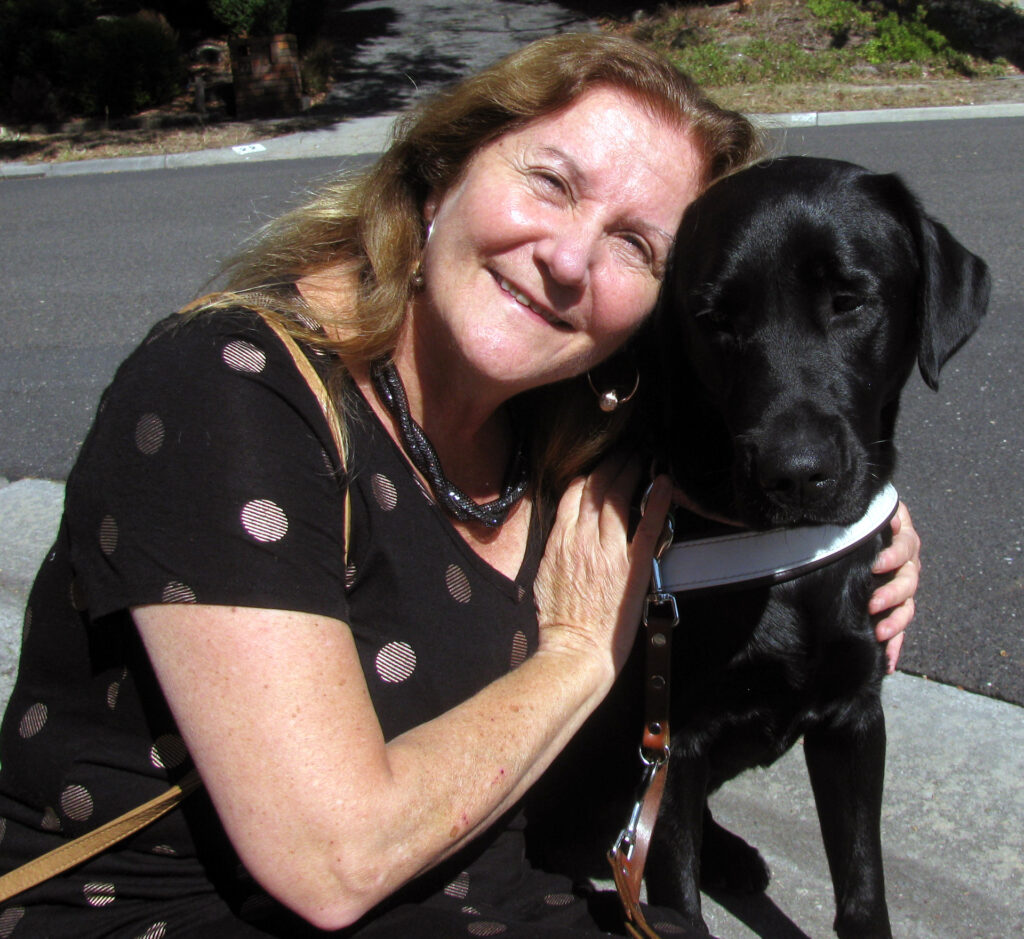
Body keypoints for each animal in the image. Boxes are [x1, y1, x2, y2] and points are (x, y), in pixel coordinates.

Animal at [524, 157, 987, 933]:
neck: (781, 558)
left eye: (848, 299)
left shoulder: (853, 718)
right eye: (715, 321)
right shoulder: (674, 739)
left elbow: (862, 888)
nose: (793, 473)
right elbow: (677, 902)